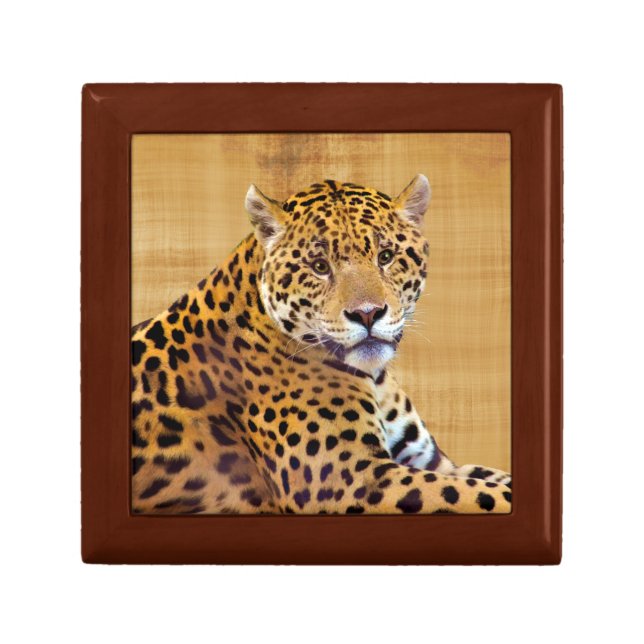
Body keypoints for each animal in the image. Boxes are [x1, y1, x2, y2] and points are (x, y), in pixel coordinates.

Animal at [131, 175, 512, 514]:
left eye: (386, 256)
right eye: (319, 267)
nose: (368, 314)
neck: (375, 379)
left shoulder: (432, 462)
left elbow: (491, 481)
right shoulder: (350, 479)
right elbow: (483, 495)